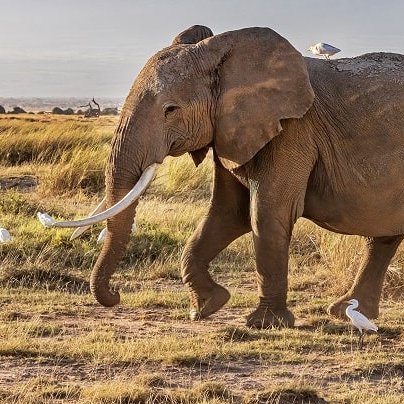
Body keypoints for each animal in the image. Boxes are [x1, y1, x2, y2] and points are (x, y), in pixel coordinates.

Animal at [49, 25, 404, 328]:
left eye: (170, 110)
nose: (115, 295)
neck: (222, 51)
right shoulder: (230, 132)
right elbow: (227, 214)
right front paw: (207, 307)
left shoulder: (293, 131)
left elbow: (266, 215)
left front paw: (264, 325)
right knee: (382, 238)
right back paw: (346, 312)